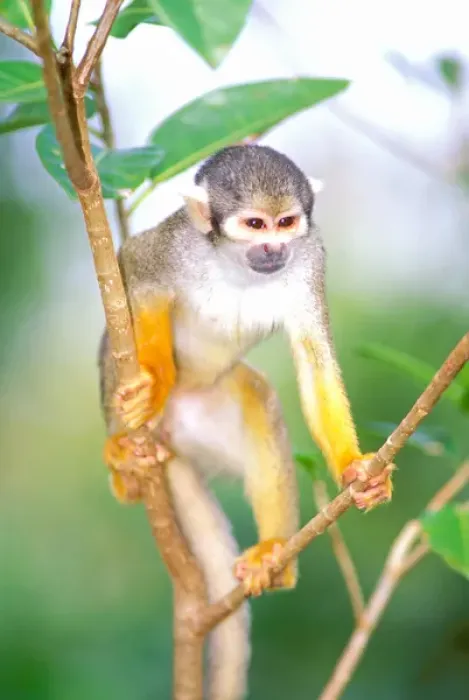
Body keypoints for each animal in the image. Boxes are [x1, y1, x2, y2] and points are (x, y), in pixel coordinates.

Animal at [98, 144, 394, 700]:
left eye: (286, 222)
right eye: (255, 224)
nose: (274, 248)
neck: (236, 266)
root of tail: (172, 436)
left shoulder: (310, 259)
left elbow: (315, 360)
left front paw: (357, 470)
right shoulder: (174, 246)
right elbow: (134, 271)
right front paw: (156, 377)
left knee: (259, 399)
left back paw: (276, 557)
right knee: (114, 337)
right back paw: (126, 464)